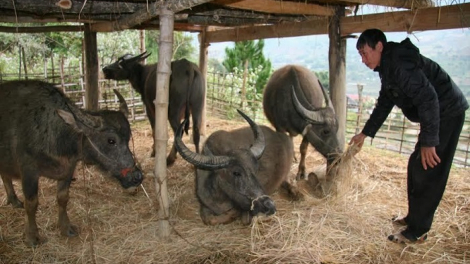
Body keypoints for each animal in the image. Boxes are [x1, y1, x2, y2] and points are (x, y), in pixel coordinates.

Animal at [0, 79, 143, 246]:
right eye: (111, 140)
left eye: (128, 137)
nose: (137, 176)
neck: (55, 134)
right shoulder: (29, 172)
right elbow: (31, 204)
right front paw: (32, 237)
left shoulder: (68, 170)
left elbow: (63, 198)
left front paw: (66, 228)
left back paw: (13, 200)